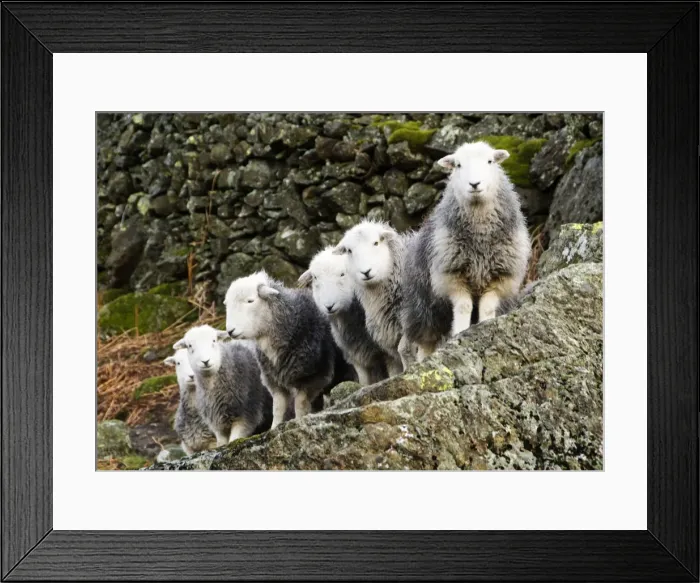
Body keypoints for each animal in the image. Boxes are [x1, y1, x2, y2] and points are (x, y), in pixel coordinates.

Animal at [224, 270, 343, 429]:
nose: (230, 331)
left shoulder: (314, 377)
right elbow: (278, 408)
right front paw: (274, 427)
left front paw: (298, 421)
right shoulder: (275, 380)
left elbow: (300, 404)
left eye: (250, 301)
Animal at [403, 141, 530, 360]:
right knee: (426, 341)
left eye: (490, 161)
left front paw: (485, 327)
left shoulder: (499, 277)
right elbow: (464, 306)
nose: (474, 184)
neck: (480, 237)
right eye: (458, 165)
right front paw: (460, 333)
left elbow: (487, 308)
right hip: (424, 309)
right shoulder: (452, 276)